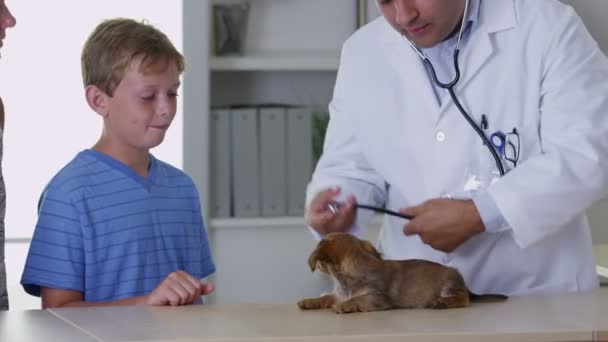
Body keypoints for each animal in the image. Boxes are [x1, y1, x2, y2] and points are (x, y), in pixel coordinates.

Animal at [296, 231, 506, 314]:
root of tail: (464, 285)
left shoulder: (377, 299)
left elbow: (358, 299)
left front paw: (345, 306)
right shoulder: (337, 294)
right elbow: (326, 297)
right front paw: (309, 301)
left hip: (450, 285)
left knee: (464, 300)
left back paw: (441, 302)